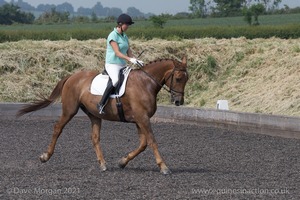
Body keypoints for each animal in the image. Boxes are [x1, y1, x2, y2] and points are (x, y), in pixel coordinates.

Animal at [17, 56, 188, 175]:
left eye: (187, 79)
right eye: (178, 78)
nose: (178, 101)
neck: (145, 83)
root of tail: (72, 76)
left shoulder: (139, 120)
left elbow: (143, 144)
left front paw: (122, 162)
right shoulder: (142, 119)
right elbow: (152, 141)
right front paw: (164, 167)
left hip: (94, 115)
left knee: (95, 137)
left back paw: (103, 164)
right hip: (69, 110)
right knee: (58, 128)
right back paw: (45, 156)